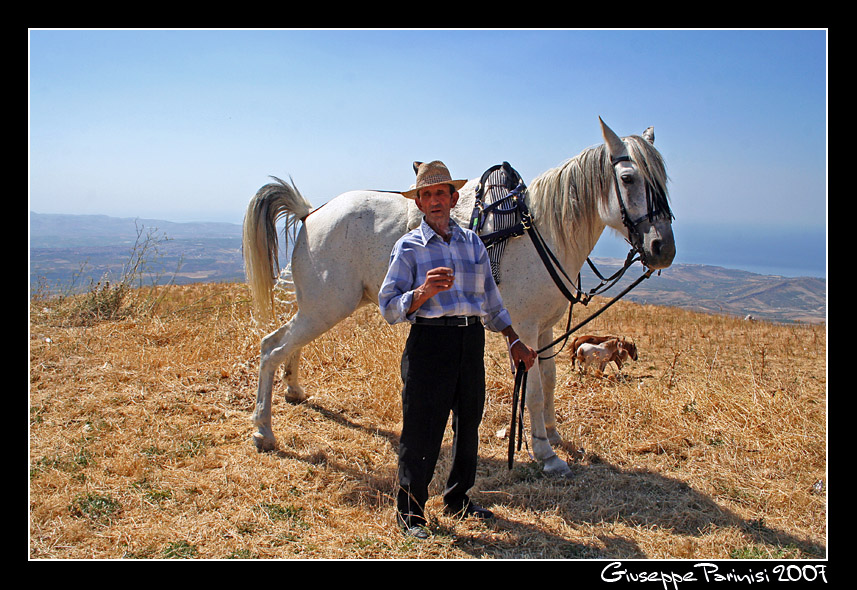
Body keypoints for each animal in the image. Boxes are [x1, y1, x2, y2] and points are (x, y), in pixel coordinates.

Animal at [242, 118, 676, 477]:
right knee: (271, 347)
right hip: (325, 308)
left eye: (663, 178)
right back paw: (263, 430)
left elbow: (549, 383)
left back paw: (293, 391)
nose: (662, 249)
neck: (540, 230)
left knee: (284, 345)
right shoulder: (525, 330)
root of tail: (310, 213)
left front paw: (551, 436)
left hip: (317, 308)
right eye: (628, 178)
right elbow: (534, 392)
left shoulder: (546, 331)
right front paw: (546, 455)